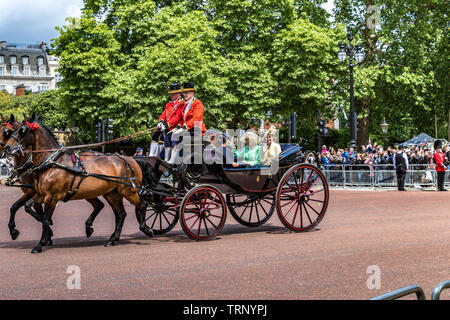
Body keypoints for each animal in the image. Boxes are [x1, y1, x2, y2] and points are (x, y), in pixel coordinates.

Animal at [2, 116, 155, 254]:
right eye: (12, 131)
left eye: (22, 130)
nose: (7, 147)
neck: (51, 163)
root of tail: (129, 159)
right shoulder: (40, 194)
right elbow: (27, 207)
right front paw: (40, 234)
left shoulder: (51, 197)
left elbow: (44, 218)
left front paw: (41, 243)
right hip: (111, 193)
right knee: (120, 214)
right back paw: (111, 238)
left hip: (129, 190)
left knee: (142, 204)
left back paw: (146, 228)